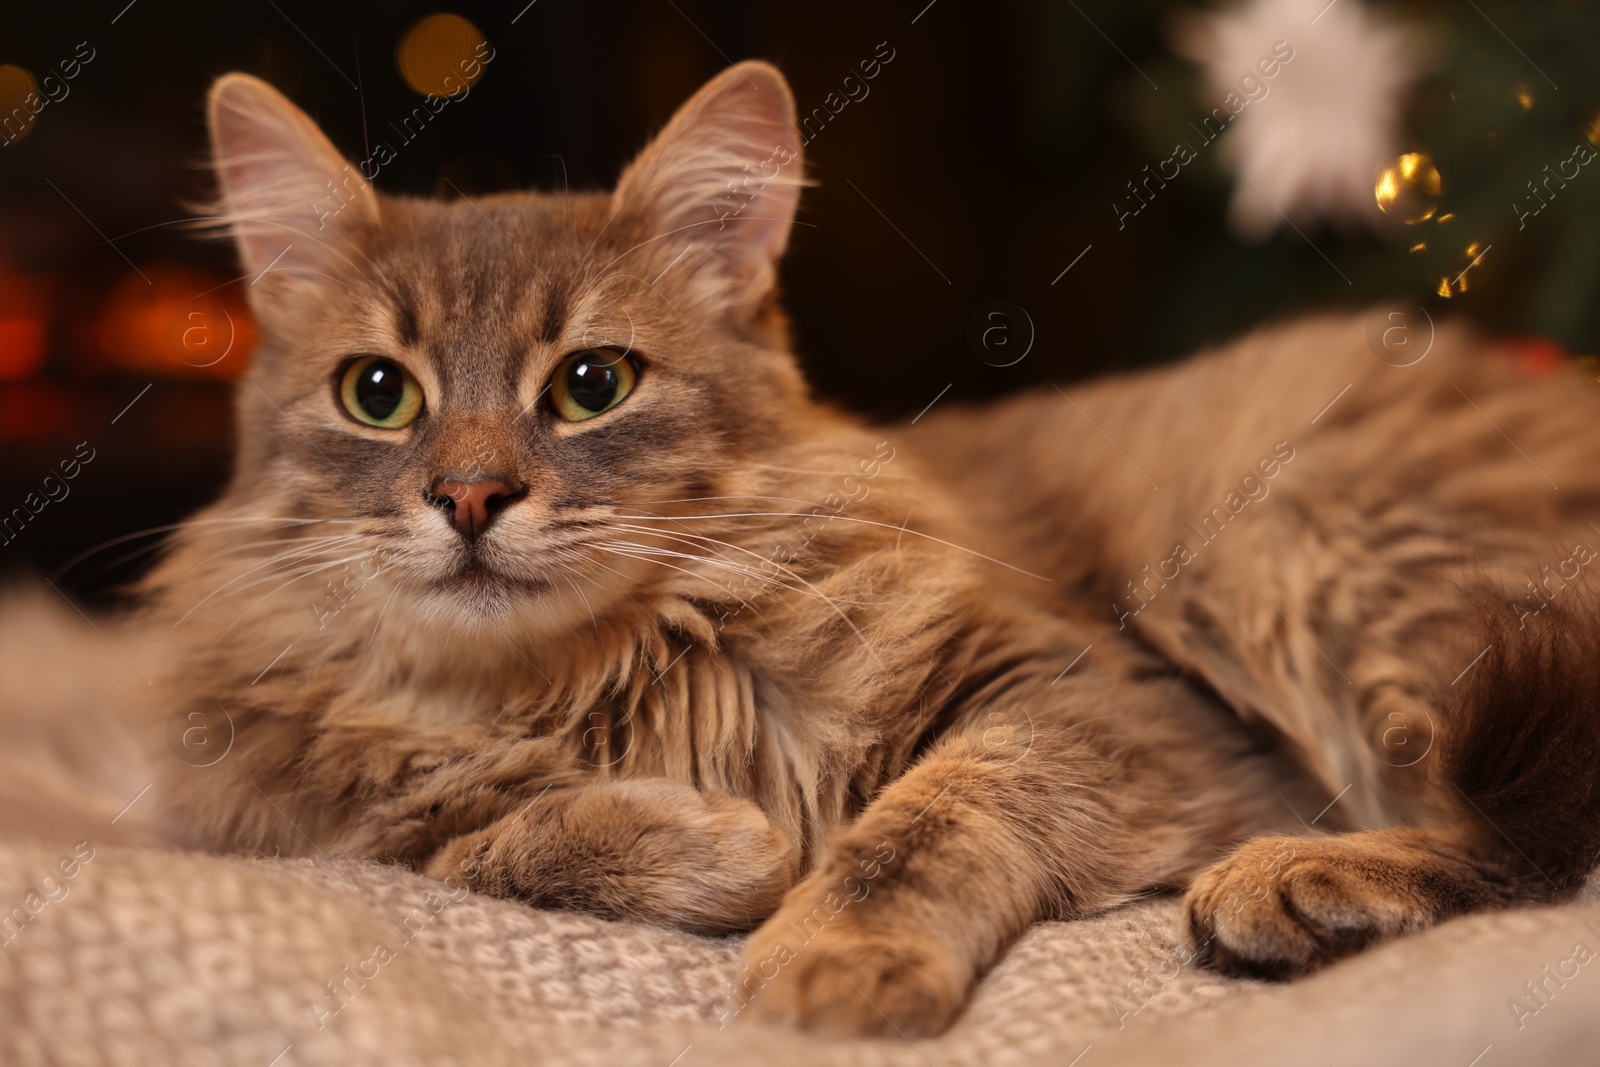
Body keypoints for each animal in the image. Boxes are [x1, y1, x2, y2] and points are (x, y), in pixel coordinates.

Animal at [90, 56, 1600, 1036]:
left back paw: (1300, 883)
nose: (466, 497)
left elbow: (922, 818)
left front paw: (832, 950)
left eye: (591, 384)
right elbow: (469, 840)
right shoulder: (294, 820)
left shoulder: (1095, 703)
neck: (581, 677)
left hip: (1300, 547)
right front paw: (720, 842)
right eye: (377, 395)